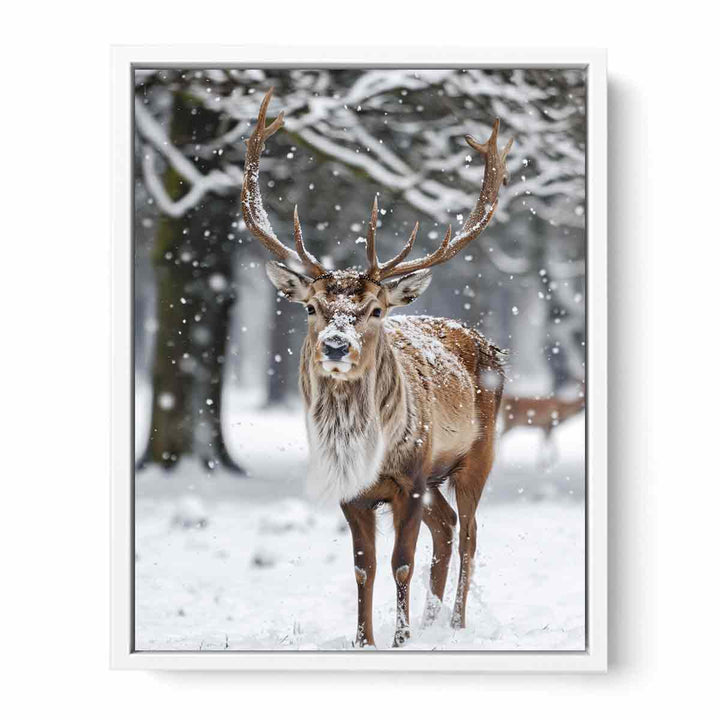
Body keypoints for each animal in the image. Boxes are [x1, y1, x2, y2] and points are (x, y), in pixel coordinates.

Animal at [242, 88, 512, 648]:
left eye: (375, 310)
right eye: (311, 306)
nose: (336, 345)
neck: (366, 450)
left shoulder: (410, 479)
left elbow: (400, 563)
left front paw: (400, 639)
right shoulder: (355, 491)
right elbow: (363, 567)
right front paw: (365, 640)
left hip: (476, 455)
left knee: (470, 533)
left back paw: (454, 623)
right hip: (435, 479)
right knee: (446, 528)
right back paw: (433, 620)